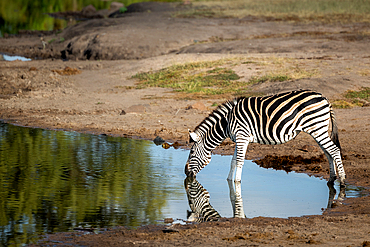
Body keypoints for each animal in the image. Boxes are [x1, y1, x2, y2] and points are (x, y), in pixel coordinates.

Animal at [185, 89, 346, 186]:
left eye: (191, 152)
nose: (186, 173)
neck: (226, 122)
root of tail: (325, 98)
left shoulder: (242, 136)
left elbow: (239, 161)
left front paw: (237, 182)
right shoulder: (239, 138)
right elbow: (233, 161)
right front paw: (229, 181)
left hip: (317, 128)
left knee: (334, 150)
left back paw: (343, 181)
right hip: (319, 129)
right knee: (328, 152)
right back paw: (331, 179)